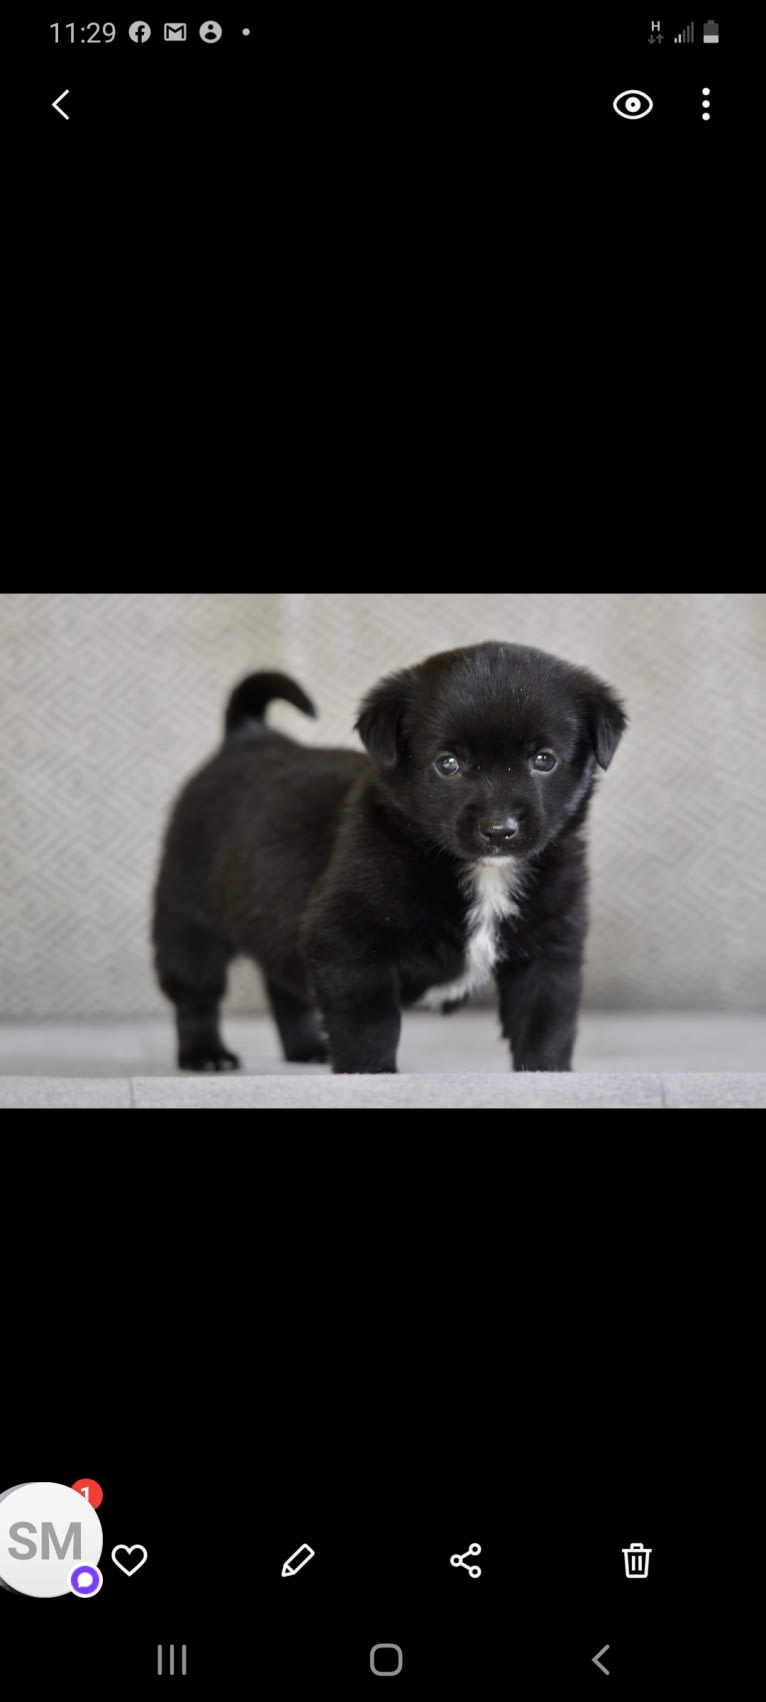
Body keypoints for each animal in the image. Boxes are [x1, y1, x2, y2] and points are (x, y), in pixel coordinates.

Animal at [152, 643, 626, 1068]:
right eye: (447, 764)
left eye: (544, 760)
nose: (499, 830)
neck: (483, 873)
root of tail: (246, 736)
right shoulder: (350, 949)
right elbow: (370, 1028)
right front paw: (371, 1076)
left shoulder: (549, 953)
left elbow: (545, 1026)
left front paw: (545, 1076)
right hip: (188, 924)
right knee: (197, 997)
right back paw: (205, 1055)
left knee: (284, 989)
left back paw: (306, 1049)